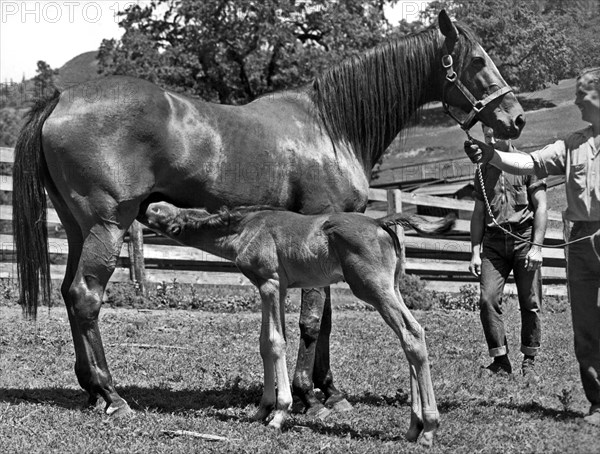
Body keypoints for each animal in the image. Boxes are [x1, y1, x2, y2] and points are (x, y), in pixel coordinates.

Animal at [143, 202, 454, 446]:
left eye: (172, 225)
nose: (152, 206)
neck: (245, 228)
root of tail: (380, 221)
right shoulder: (276, 288)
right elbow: (265, 344)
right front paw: (262, 409)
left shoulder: (269, 282)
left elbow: (275, 342)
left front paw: (279, 413)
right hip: (393, 286)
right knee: (408, 338)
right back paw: (414, 428)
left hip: (372, 288)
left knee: (411, 333)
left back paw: (429, 430)